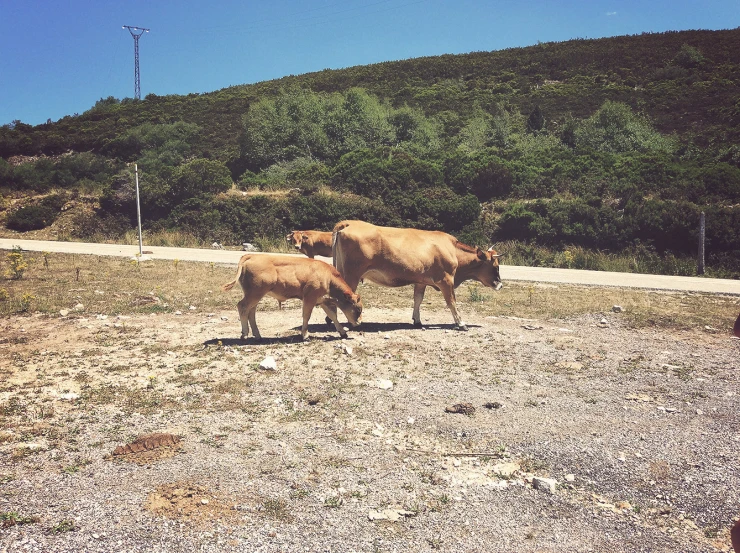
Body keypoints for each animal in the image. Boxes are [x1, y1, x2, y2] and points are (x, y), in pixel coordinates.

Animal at [223, 254, 364, 340]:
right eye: (358, 309)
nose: (359, 323)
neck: (328, 277)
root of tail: (252, 255)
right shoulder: (310, 298)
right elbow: (306, 316)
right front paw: (305, 335)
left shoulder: (322, 300)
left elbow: (333, 316)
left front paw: (343, 332)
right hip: (254, 294)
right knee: (242, 307)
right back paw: (245, 334)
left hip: (255, 296)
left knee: (251, 312)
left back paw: (257, 335)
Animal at [334, 220, 502, 330]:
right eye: (495, 266)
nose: (500, 284)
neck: (452, 250)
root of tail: (349, 223)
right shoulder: (446, 280)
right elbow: (452, 302)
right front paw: (461, 323)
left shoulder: (421, 281)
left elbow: (418, 300)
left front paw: (417, 320)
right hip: (352, 274)